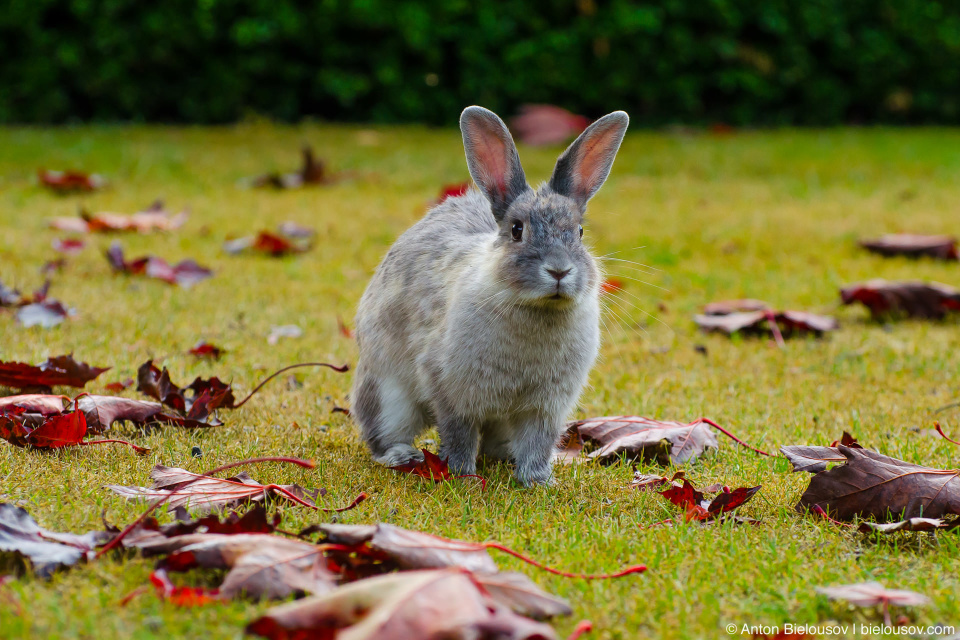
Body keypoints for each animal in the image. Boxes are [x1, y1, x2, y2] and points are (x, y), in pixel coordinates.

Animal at [352, 105, 632, 484]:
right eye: (516, 229)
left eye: (579, 232)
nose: (559, 271)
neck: (536, 309)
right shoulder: (451, 391)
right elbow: (459, 434)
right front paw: (461, 474)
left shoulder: (544, 408)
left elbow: (537, 442)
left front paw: (537, 480)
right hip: (388, 395)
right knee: (382, 430)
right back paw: (403, 455)